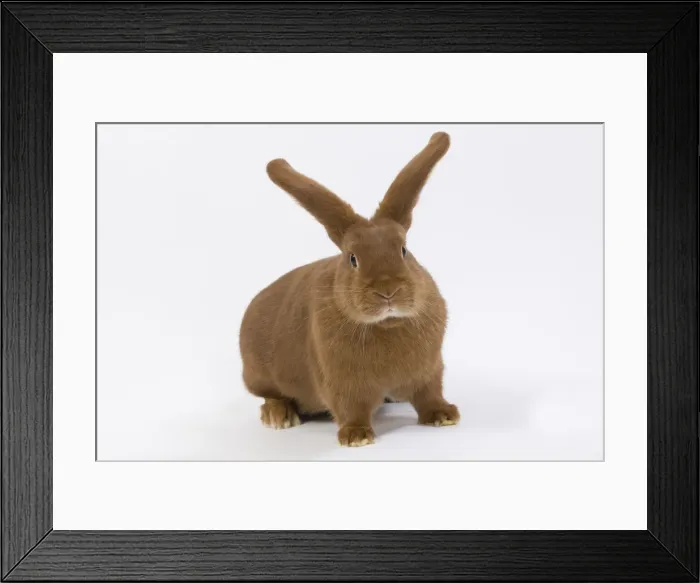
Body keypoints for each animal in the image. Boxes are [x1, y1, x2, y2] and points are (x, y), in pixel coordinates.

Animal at [239, 132, 459, 447]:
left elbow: (429, 395)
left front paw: (444, 415)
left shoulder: (429, 372)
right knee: (270, 395)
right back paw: (278, 416)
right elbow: (350, 408)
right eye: (352, 258)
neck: (387, 324)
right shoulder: (341, 382)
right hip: (259, 375)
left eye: (404, 249)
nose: (388, 290)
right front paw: (357, 437)